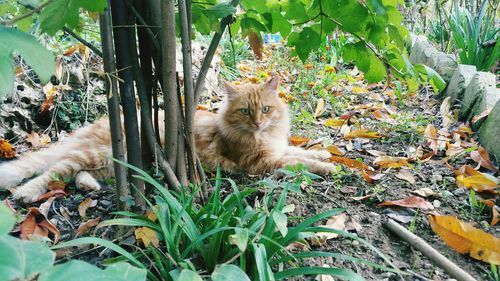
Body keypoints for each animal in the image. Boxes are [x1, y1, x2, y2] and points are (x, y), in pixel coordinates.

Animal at [1, 74, 336, 201]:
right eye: (245, 112)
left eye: (265, 109)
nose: (257, 123)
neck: (262, 138)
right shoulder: (260, 162)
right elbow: (298, 162)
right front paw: (328, 166)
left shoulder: (276, 149)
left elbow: (302, 152)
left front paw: (324, 155)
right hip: (94, 154)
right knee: (52, 172)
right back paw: (25, 193)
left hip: (106, 163)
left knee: (76, 173)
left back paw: (89, 186)